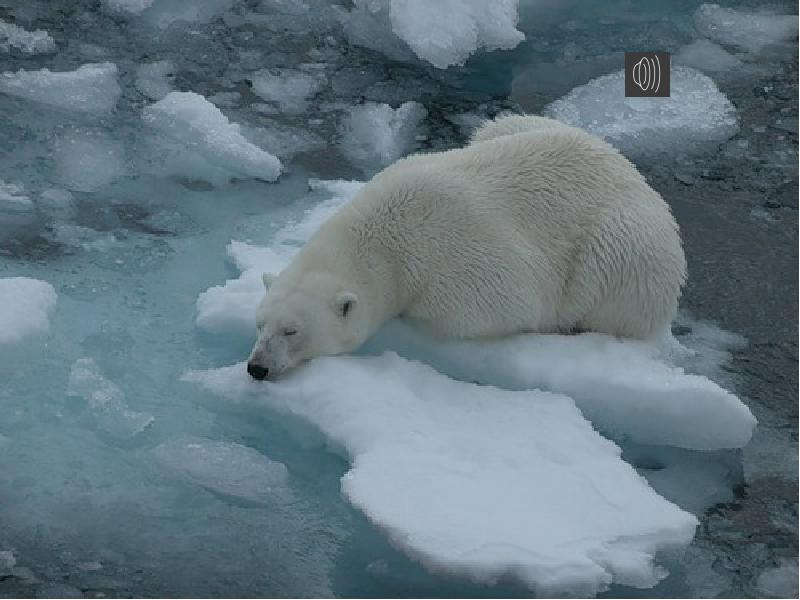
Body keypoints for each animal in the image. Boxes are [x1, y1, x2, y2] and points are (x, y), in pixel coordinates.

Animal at [245, 113, 688, 380]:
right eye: (260, 324)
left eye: (292, 330)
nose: (256, 367)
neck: (387, 237)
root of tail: (633, 174)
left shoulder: (460, 267)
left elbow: (491, 310)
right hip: (516, 127)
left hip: (625, 243)